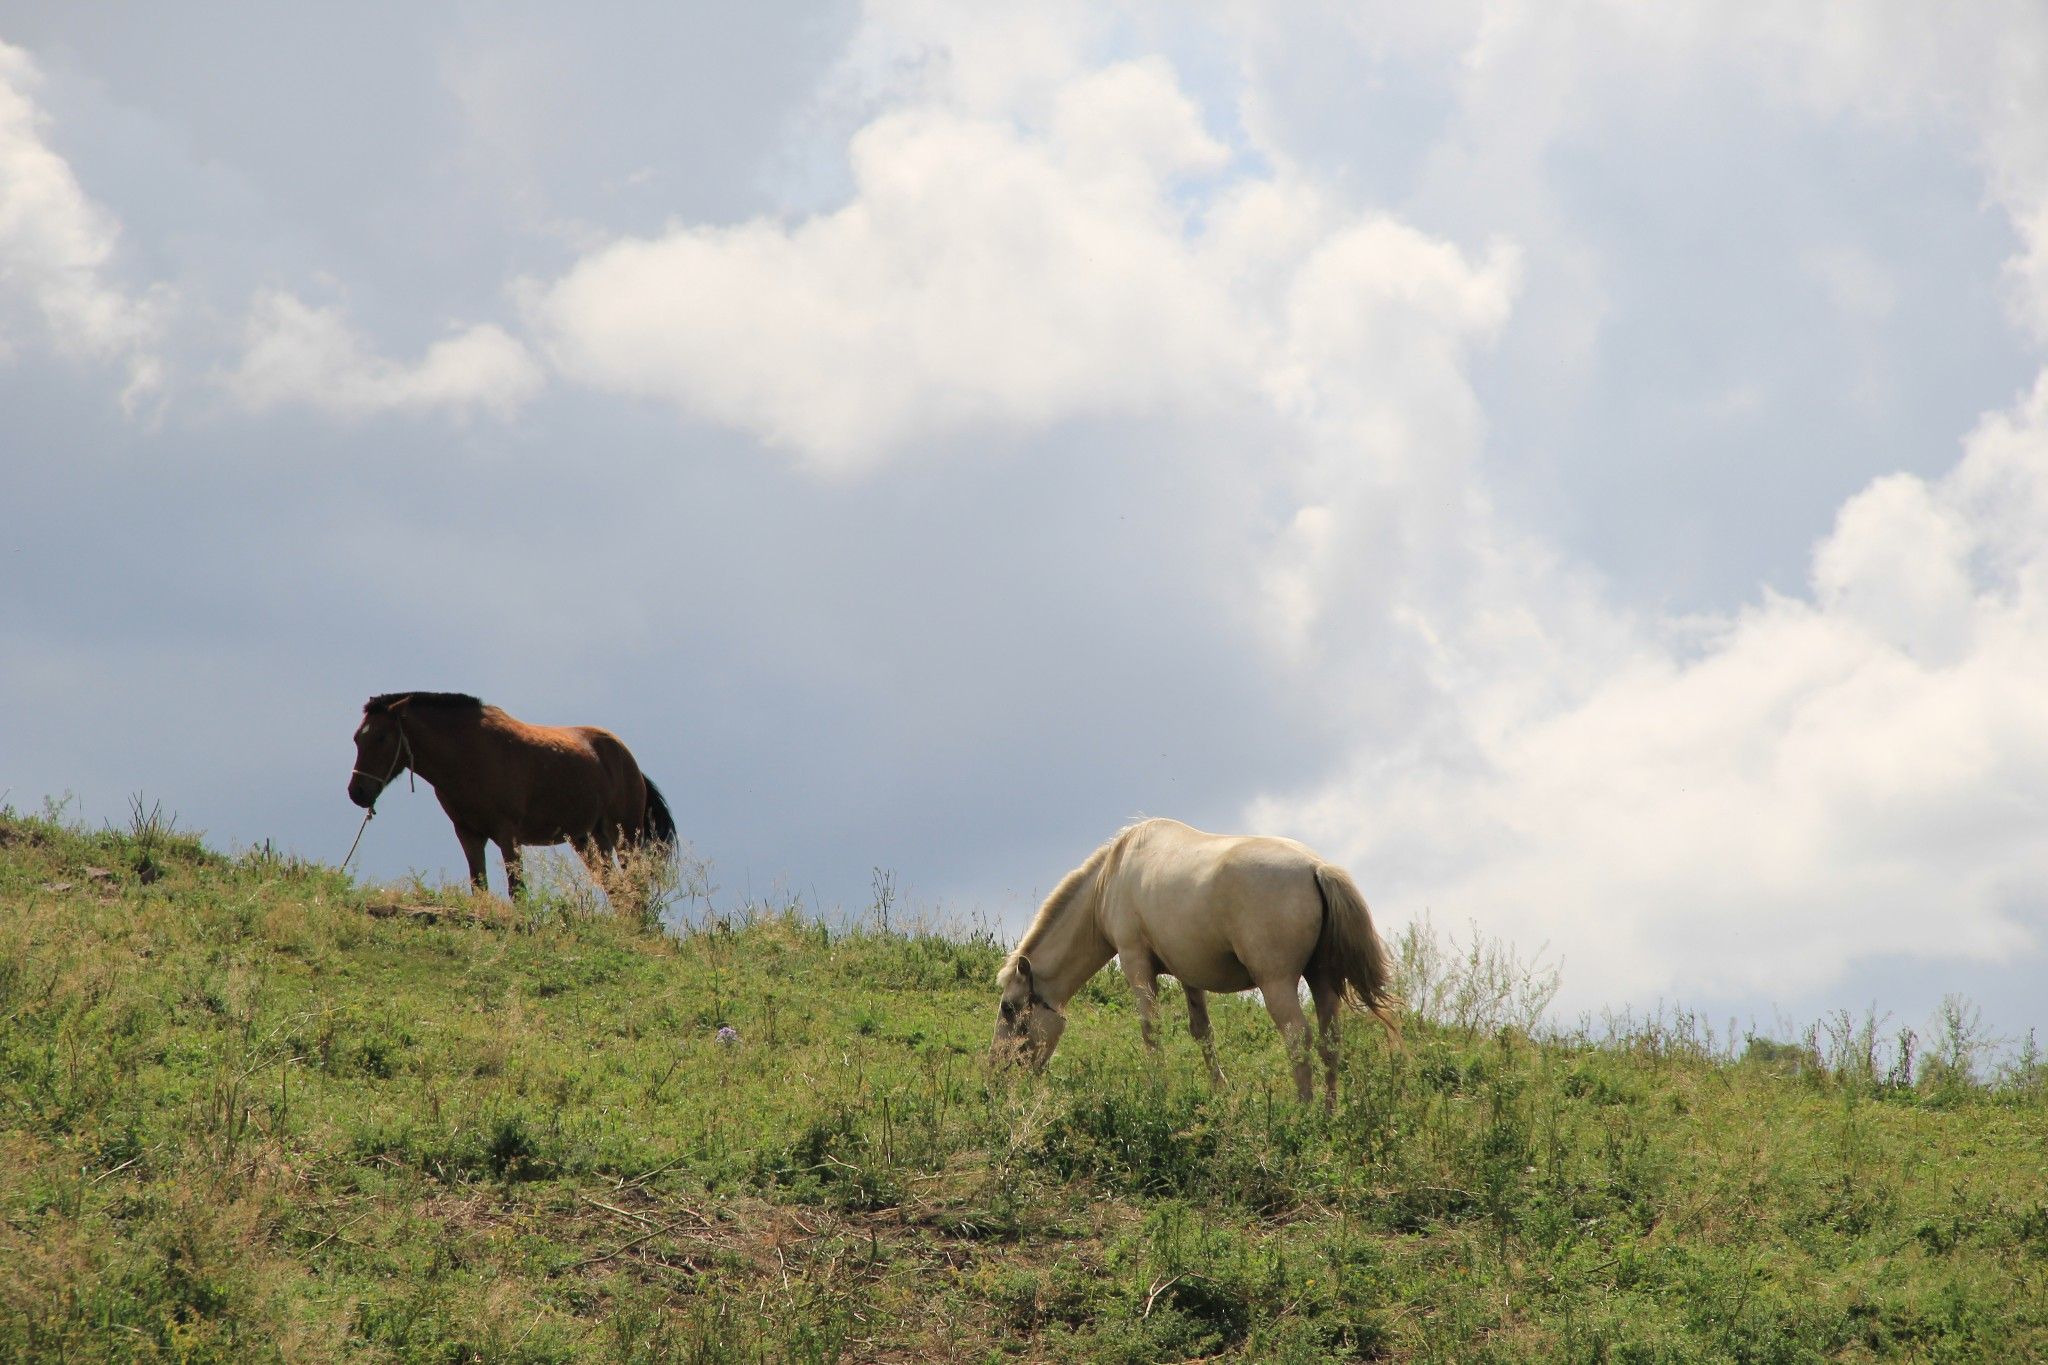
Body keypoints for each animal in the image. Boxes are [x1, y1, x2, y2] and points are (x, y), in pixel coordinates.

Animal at [344, 695, 675, 896]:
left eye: (382, 737)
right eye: (357, 738)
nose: (357, 792)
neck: (470, 753)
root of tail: (631, 763)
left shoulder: (508, 834)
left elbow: (517, 890)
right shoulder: (468, 833)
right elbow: (479, 886)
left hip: (625, 837)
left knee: (635, 887)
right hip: (589, 840)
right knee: (615, 888)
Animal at [987, 818, 1400, 1105]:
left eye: (1009, 1008)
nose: (994, 1073)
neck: (1111, 878)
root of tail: (1316, 868)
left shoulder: (1136, 962)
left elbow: (1150, 1030)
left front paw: (1158, 1092)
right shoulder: (1189, 973)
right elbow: (1202, 1032)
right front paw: (1219, 1090)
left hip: (1277, 983)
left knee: (1298, 1037)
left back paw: (1304, 1111)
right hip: (1322, 979)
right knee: (1331, 1041)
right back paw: (1328, 1113)